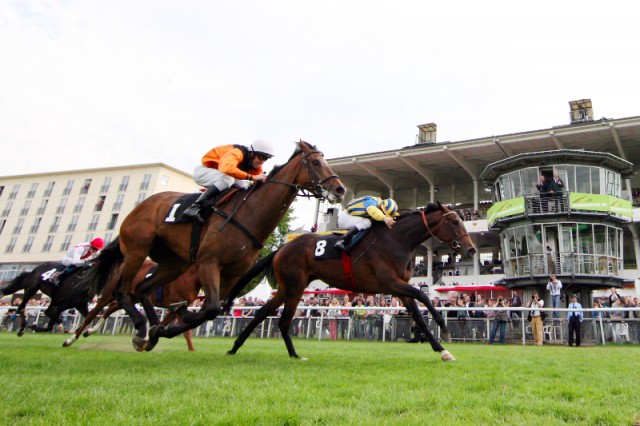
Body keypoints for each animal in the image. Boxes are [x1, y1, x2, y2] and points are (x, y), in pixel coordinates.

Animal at [90, 141, 344, 352]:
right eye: (315, 162)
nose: (340, 189)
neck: (248, 214)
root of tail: (141, 205)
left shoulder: (232, 273)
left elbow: (211, 310)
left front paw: (167, 326)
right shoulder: (208, 262)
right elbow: (210, 308)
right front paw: (174, 320)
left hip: (174, 263)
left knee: (142, 289)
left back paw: (150, 331)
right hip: (137, 249)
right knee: (123, 293)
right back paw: (140, 328)